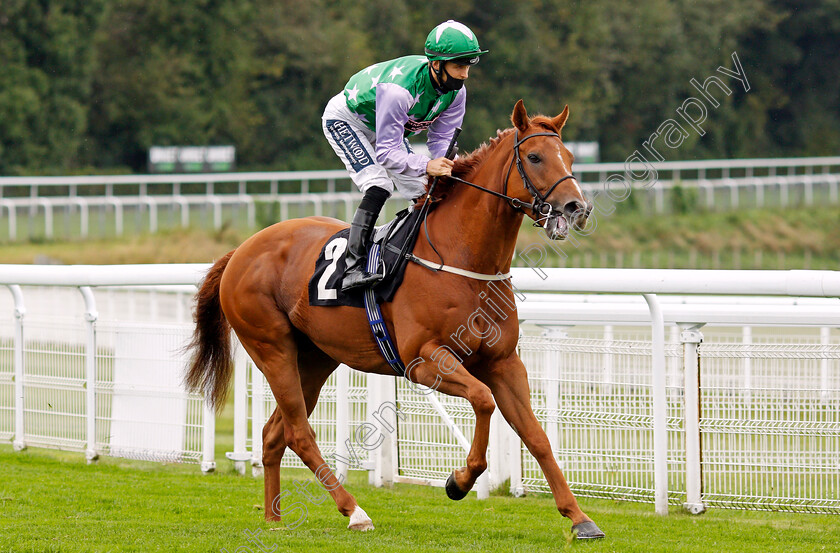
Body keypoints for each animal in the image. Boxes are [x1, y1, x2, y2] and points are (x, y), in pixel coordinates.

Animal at [185, 100, 604, 540]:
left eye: (570, 156)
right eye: (535, 157)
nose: (577, 208)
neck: (462, 258)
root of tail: (240, 250)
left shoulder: (504, 362)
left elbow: (536, 436)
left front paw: (580, 518)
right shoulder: (424, 361)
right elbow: (483, 400)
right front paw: (459, 481)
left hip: (314, 359)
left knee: (274, 434)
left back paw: (273, 517)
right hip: (272, 347)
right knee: (299, 432)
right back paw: (354, 511)